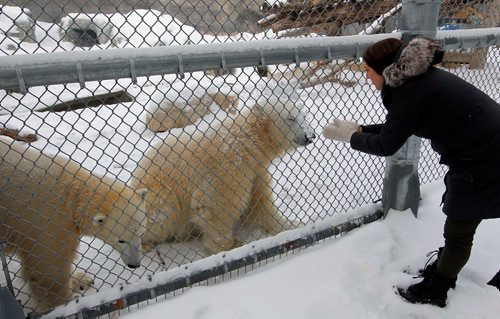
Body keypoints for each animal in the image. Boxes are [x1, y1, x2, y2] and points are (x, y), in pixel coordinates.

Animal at [0, 138, 148, 312]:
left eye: (141, 234)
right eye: (121, 240)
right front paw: (65, 305)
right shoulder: (46, 222)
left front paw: (82, 279)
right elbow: (49, 271)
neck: (71, 194)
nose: (134, 265)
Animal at [130, 97, 316, 255]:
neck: (248, 139)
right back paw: (145, 243)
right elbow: (219, 203)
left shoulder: (256, 169)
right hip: (155, 189)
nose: (310, 136)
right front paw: (230, 246)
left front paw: (292, 225)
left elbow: (260, 201)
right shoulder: (229, 163)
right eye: (290, 118)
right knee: (162, 210)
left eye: (303, 115)